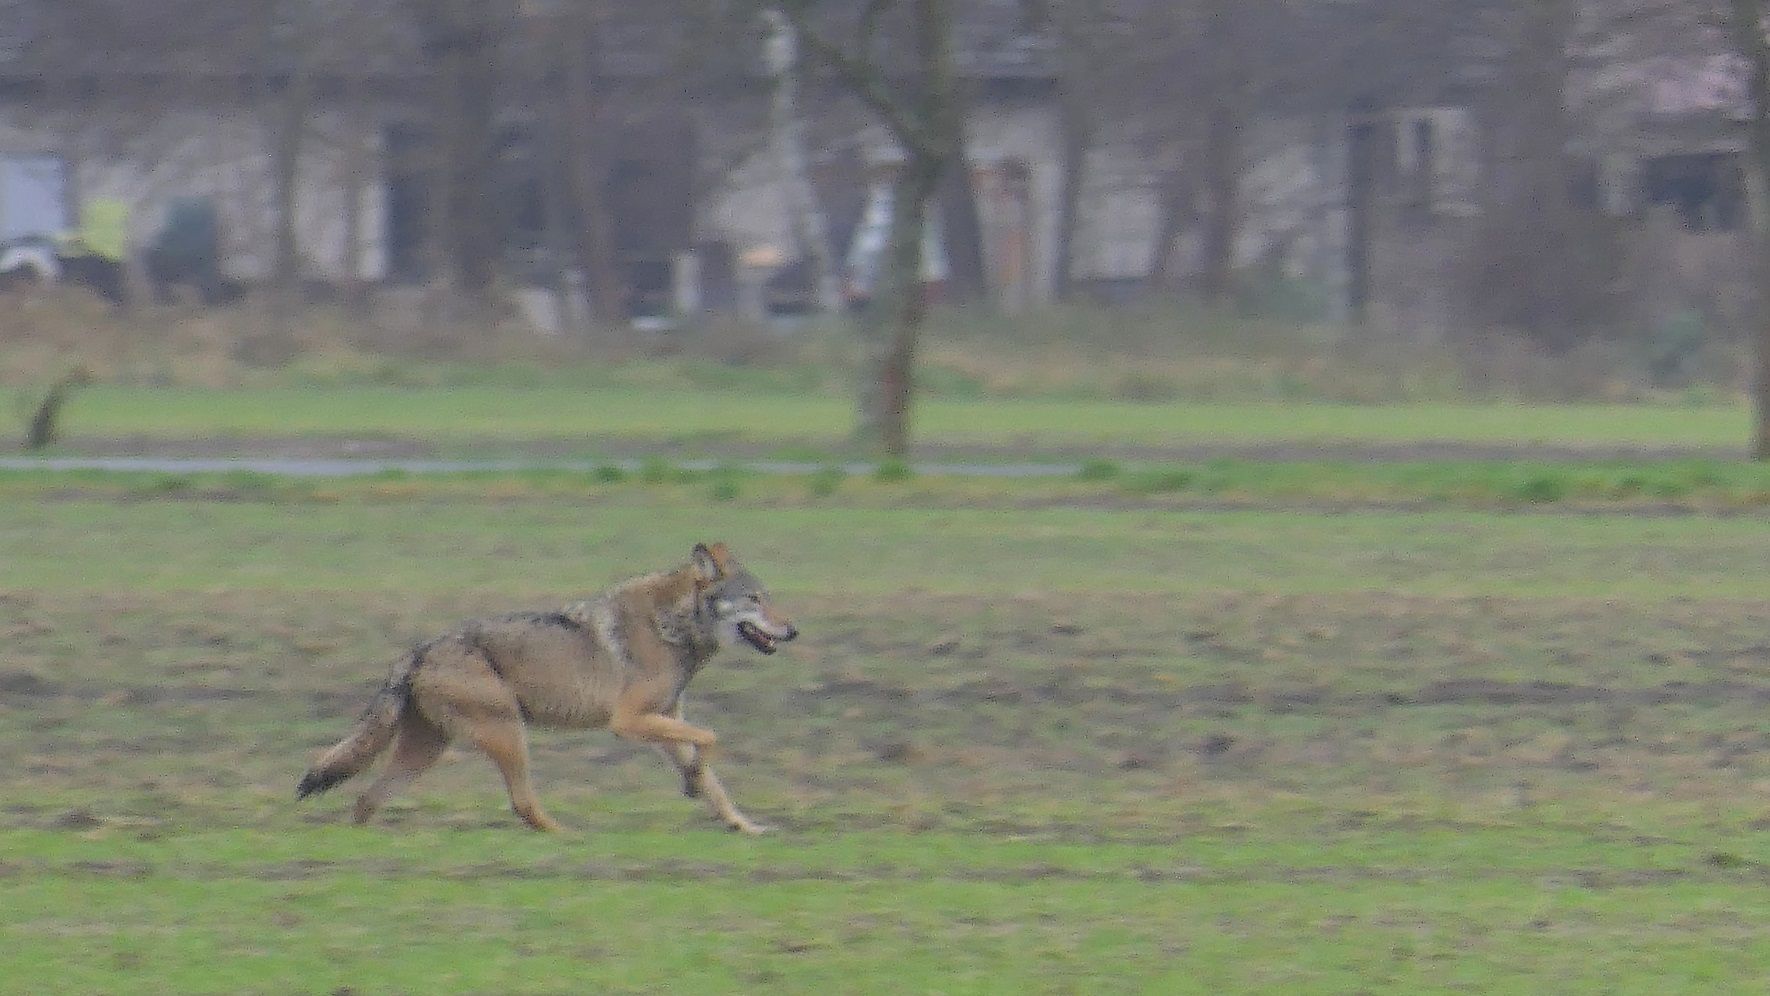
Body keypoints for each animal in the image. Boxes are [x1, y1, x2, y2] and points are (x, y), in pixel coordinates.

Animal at [295, 543, 798, 835]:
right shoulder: (629, 721)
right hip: (508, 734)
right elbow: (711, 737)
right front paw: (696, 784)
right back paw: (566, 835)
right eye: (755, 599)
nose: (793, 630)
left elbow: (713, 778)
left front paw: (740, 822)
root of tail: (417, 650)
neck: (673, 626)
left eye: (768, 597)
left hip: (428, 751)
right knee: (522, 803)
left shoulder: (666, 718)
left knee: (366, 799)